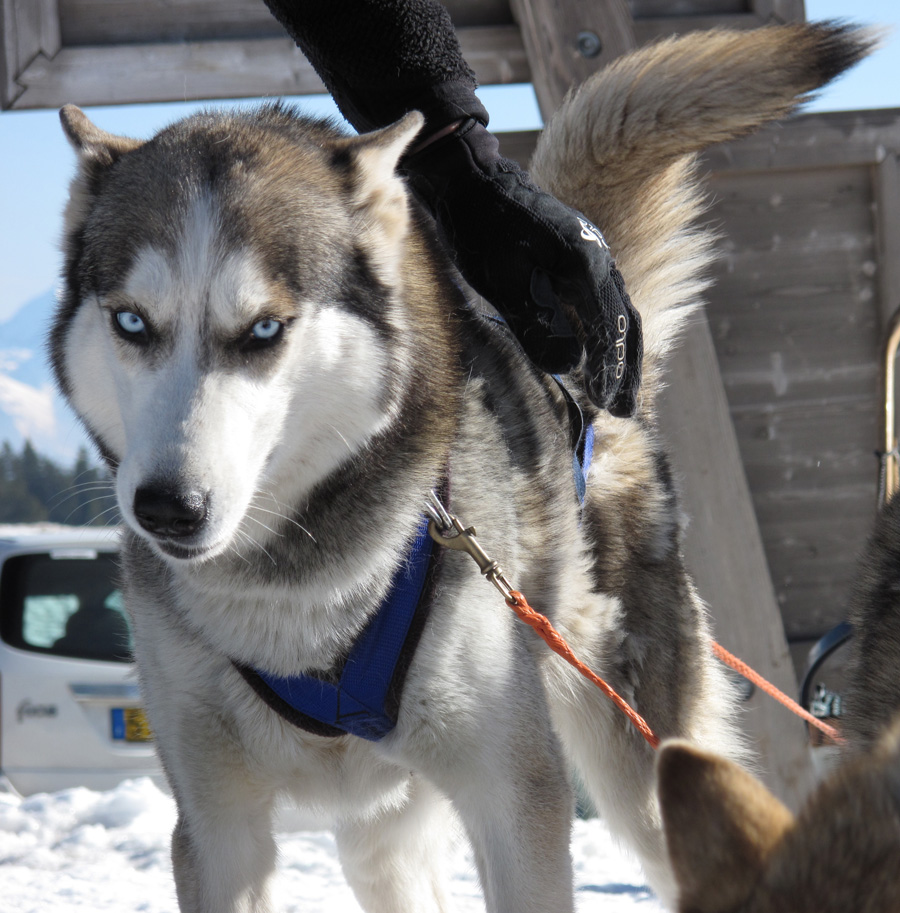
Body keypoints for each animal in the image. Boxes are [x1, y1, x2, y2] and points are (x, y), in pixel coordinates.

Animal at [54, 21, 864, 912]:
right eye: (132, 322)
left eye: (265, 329)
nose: (168, 506)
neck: (298, 600)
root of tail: (587, 394)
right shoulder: (216, 826)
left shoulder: (514, 795)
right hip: (382, 838)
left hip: (651, 773)